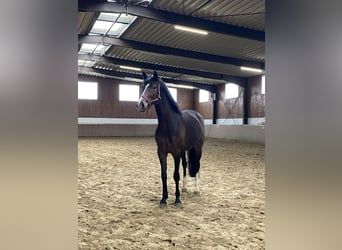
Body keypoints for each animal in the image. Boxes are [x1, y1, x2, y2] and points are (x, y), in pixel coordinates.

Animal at [136, 70, 206, 207]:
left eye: (153, 87)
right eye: (143, 86)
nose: (141, 104)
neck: (169, 124)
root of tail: (197, 115)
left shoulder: (176, 153)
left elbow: (176, 175)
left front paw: (177, 199)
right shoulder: (161, 152)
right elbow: (164, 175)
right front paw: (164, 199)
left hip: (198, 147)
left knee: (198, 165)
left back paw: (196, 189)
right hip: (185, 150)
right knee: (185, 165)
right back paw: (184, 188)